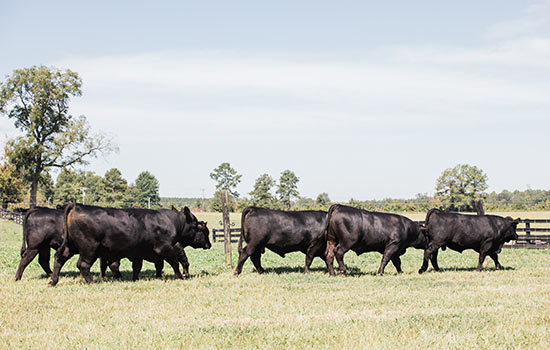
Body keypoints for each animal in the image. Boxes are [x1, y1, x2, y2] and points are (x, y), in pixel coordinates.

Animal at [49, 204, 211, 286]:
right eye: (197, 226)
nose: (209, 245)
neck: (172, 221)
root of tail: (77, 206)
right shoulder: (165, 248)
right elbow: (174, 262)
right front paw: (180, 276)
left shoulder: (139, 252)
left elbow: (139, 266)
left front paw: (136, 279)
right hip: (89, 248)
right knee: (83, 264)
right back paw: (92, 282)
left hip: (70, 246)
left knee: (59, 258)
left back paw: (53, 281)